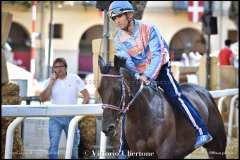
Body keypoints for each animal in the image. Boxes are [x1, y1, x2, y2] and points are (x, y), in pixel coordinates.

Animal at [97, 55, 227, 158]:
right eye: (99, 90)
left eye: (117, 88)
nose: (107, 128)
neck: (143, 117)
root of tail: (205, 92)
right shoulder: (139, 153)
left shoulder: (165, 151)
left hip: (217, 147)